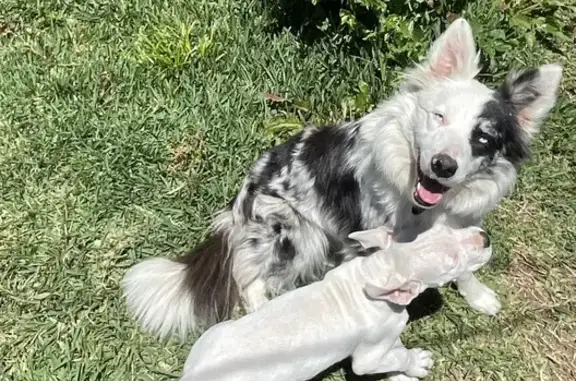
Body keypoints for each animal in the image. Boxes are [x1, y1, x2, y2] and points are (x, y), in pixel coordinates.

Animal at [122, 19, 564, 336]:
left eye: (483, 138)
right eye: (439, 117)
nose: (443, 165)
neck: (418, 206)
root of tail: (237, 209)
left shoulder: (459, 223)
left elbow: (465, 261)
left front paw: (479, 297)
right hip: (297, 233)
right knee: (250, 279)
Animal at [179, 224, 490, 378]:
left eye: (447, 230)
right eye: (451, 263)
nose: (485, 238)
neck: (378, 271)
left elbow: (395, 349)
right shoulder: (368, 355)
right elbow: (386, 358)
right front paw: (416, 363)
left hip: (211, 336)